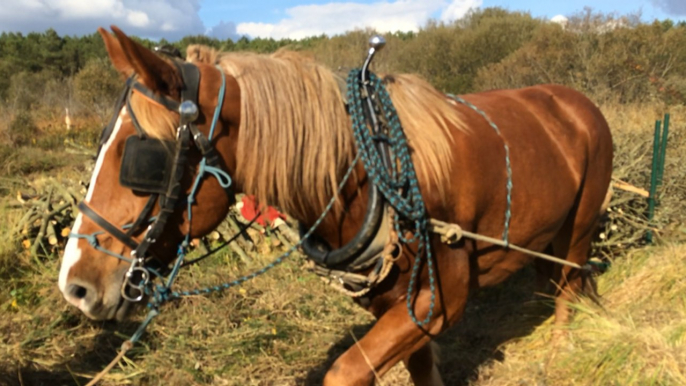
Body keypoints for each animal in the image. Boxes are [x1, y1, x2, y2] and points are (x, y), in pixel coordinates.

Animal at [59, 25, 616, 384]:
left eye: (139, 158)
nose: (75, 286)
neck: (368, 174)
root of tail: (578, 101)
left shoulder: (441, 299)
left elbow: (345, 372)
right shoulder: (395, 305)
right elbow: (416, 370)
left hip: (580, 227)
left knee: (568, 287)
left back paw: (560, 353)